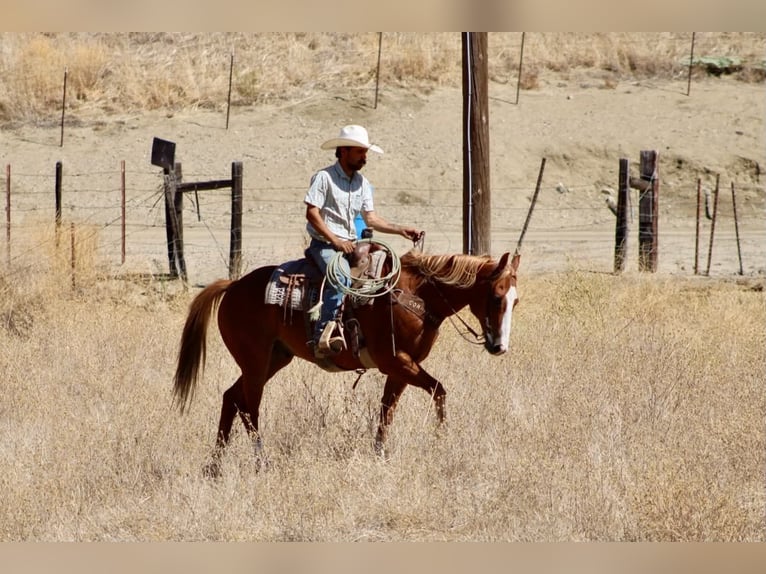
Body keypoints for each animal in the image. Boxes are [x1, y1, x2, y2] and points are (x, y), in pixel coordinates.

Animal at [172, 245, 520, 474]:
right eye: (495, 297)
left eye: (516, 300)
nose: (499, 346)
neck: (417, 295)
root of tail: (232, 287)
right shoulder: (396, 361)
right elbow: (438, 390)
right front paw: (441, 439)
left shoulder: (400, 369)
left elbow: (387, 410)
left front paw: (381, 454)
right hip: (255, 362)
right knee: (249, 407)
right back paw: (261, 463)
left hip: (273, 359)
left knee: (231, 398)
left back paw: (214, 466)